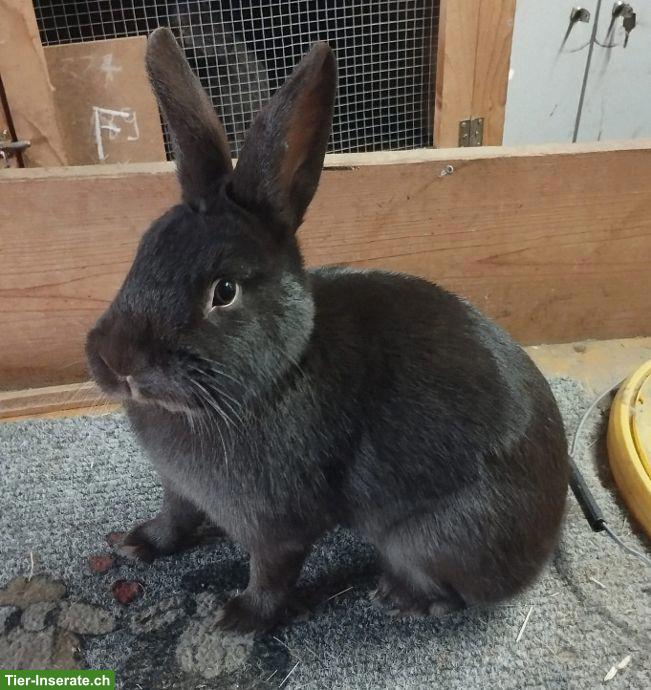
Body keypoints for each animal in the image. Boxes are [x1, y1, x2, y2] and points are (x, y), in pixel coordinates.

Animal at [86, 28, 569, 633]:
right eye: (145, 249)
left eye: (225, 290)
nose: (117, 361)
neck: (278, 373)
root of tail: (550, 531)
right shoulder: (180, 489)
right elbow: (174, 516)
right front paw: (135, 544)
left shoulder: (278, 527)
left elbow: (271, 575)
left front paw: (235, 618)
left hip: (426, 539)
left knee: (459, 593)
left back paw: (400, 598)